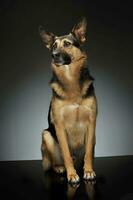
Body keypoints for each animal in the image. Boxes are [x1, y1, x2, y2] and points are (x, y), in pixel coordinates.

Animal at [39, 18, 97, 184]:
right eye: (53, 46)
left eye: (67, 44)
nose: (54, 55)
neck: (70, 79)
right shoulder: (59, 126)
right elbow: (66, 155)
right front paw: (71, 175)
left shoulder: (91, 122)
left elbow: (88, 153)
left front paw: (88, 171)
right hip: (46, 135)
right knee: (54, 161)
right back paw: (59, 167)